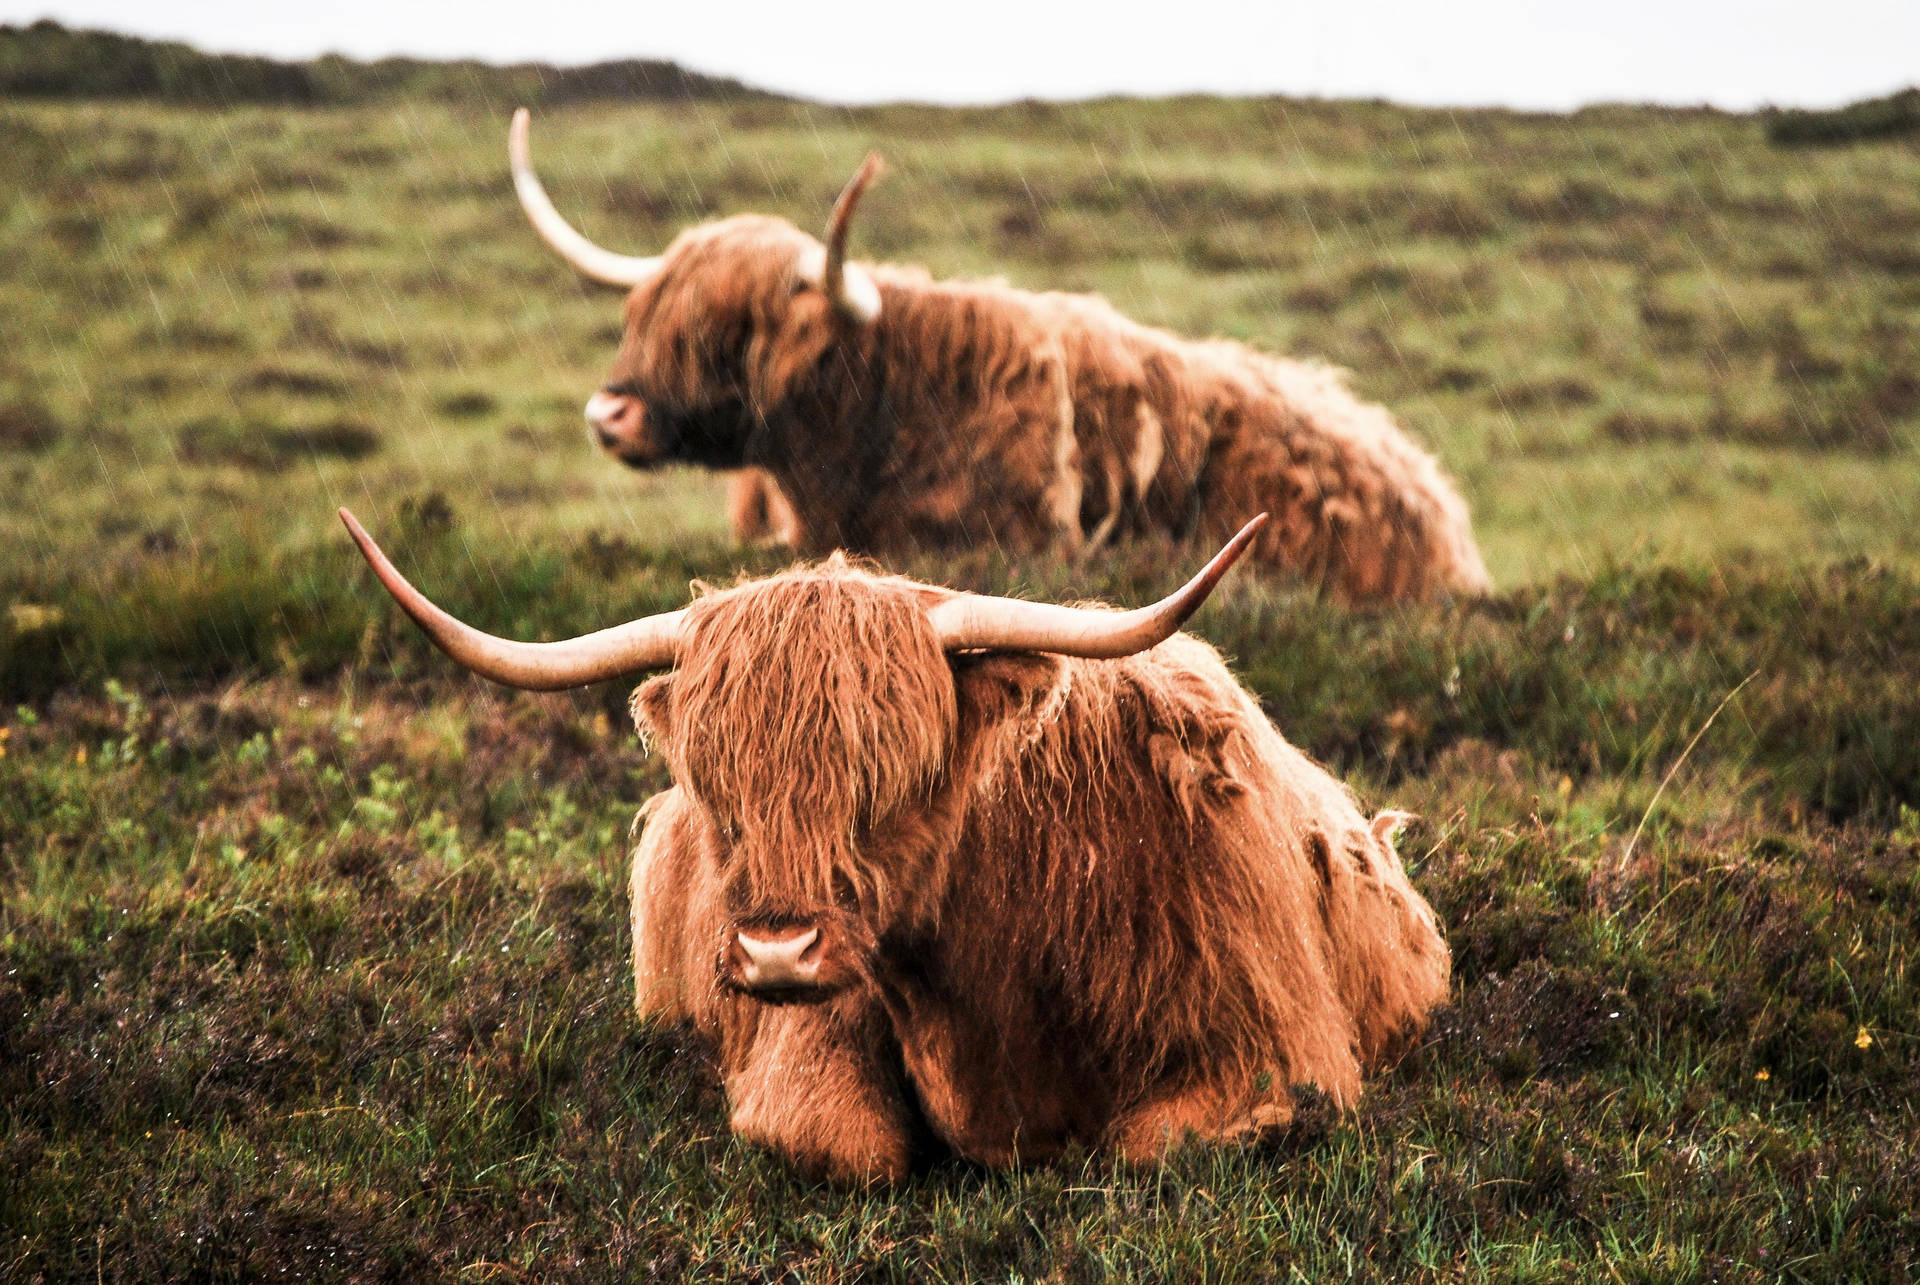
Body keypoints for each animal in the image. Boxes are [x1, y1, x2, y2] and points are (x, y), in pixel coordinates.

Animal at [345, 507, 1451, 1175]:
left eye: (886, 778)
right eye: (722, 790)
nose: (776, 952)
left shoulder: (1273, 1056)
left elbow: (1148, 1145)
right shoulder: (811, 1042)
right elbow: (846, 1145)